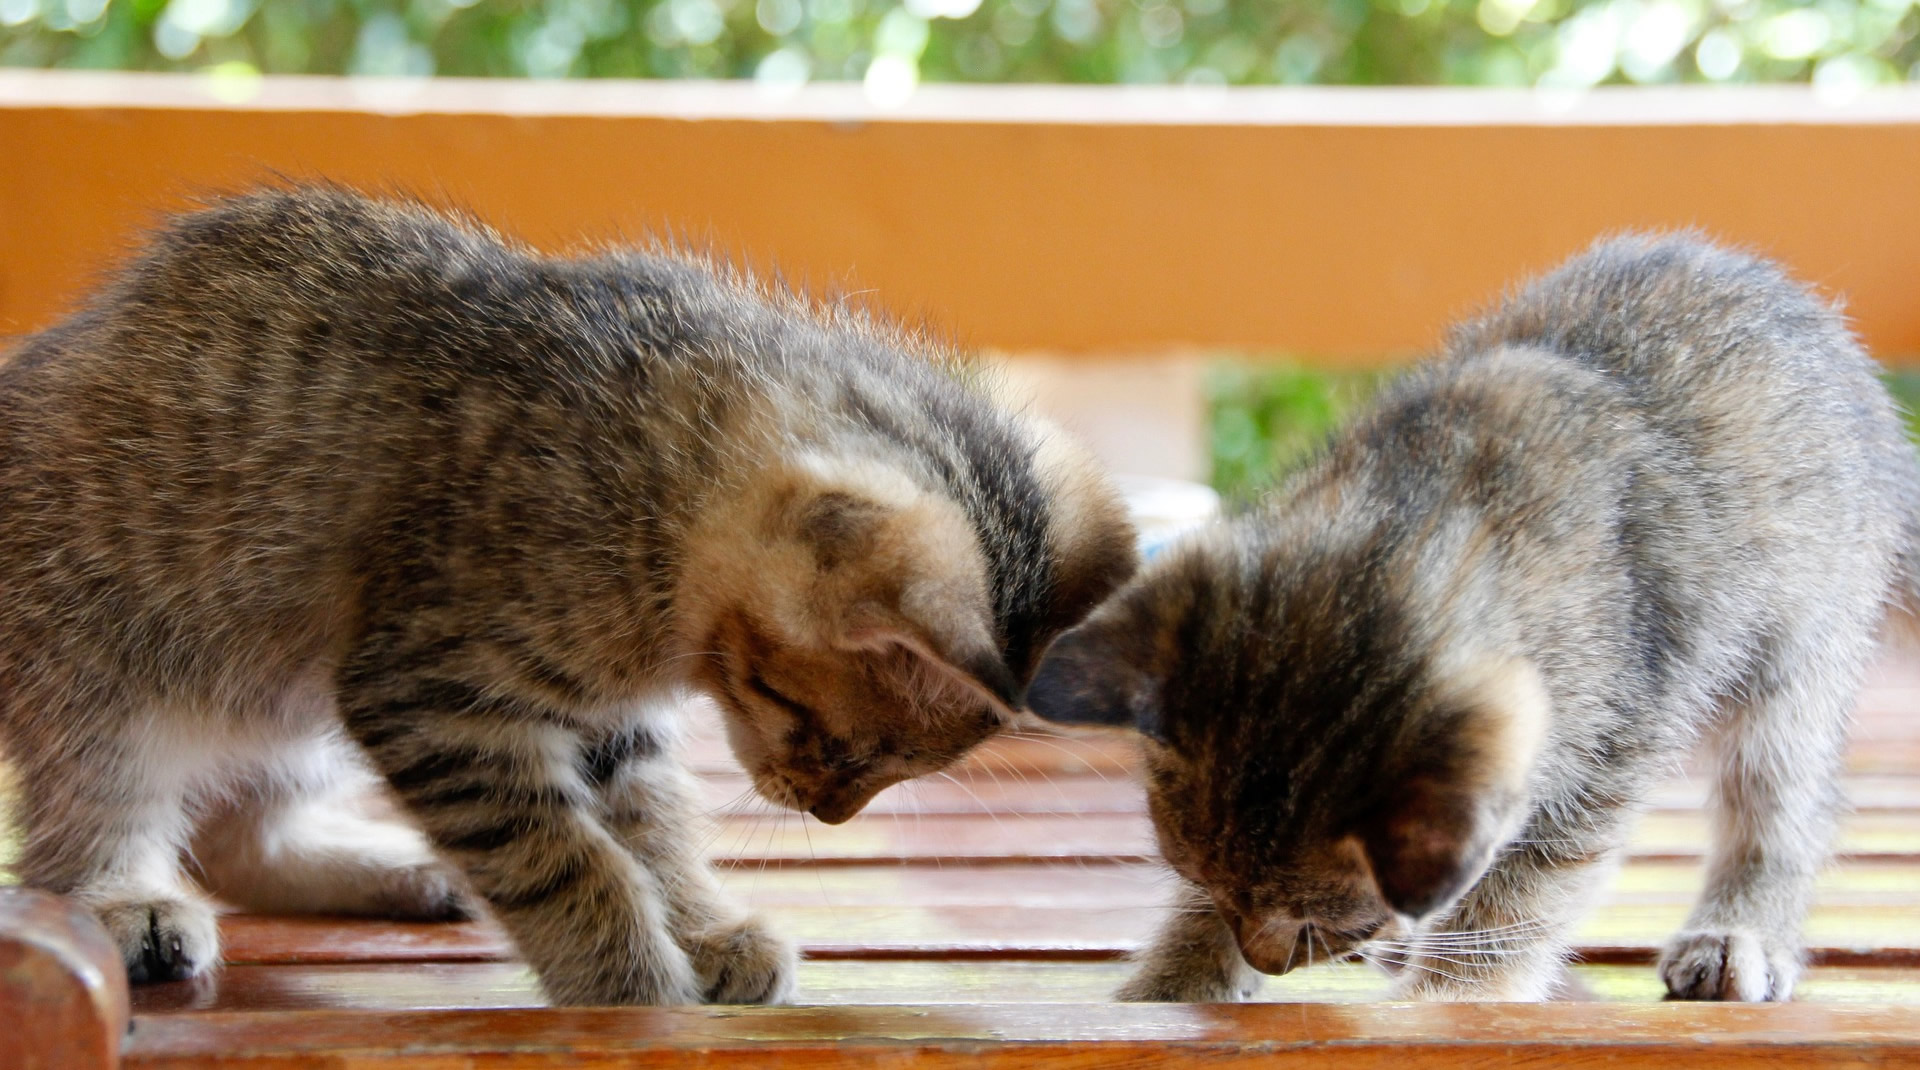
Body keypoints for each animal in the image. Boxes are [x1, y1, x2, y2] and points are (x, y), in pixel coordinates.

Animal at [0, 190, 1136, 998]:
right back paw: (129, 899)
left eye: (895, 765)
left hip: (286, 699)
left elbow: (650, 822)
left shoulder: (598, 717)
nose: (824, 810)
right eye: (809, 719)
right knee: (96, 813)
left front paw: (702, 924)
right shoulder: (431, 691)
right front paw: (626, 971)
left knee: (240, 836)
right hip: (107, 662)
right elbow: (563, 852)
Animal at [1029, 231, 1912, 998]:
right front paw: (1176, 977)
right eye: (1200, 876)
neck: (1422, 522)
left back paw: (1742, 931)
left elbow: (1521, 897)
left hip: (1799, 650)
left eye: (1324, 921)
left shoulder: (1604, 754)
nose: (1269, 958)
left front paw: (1458, 998)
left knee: (1780, 801)